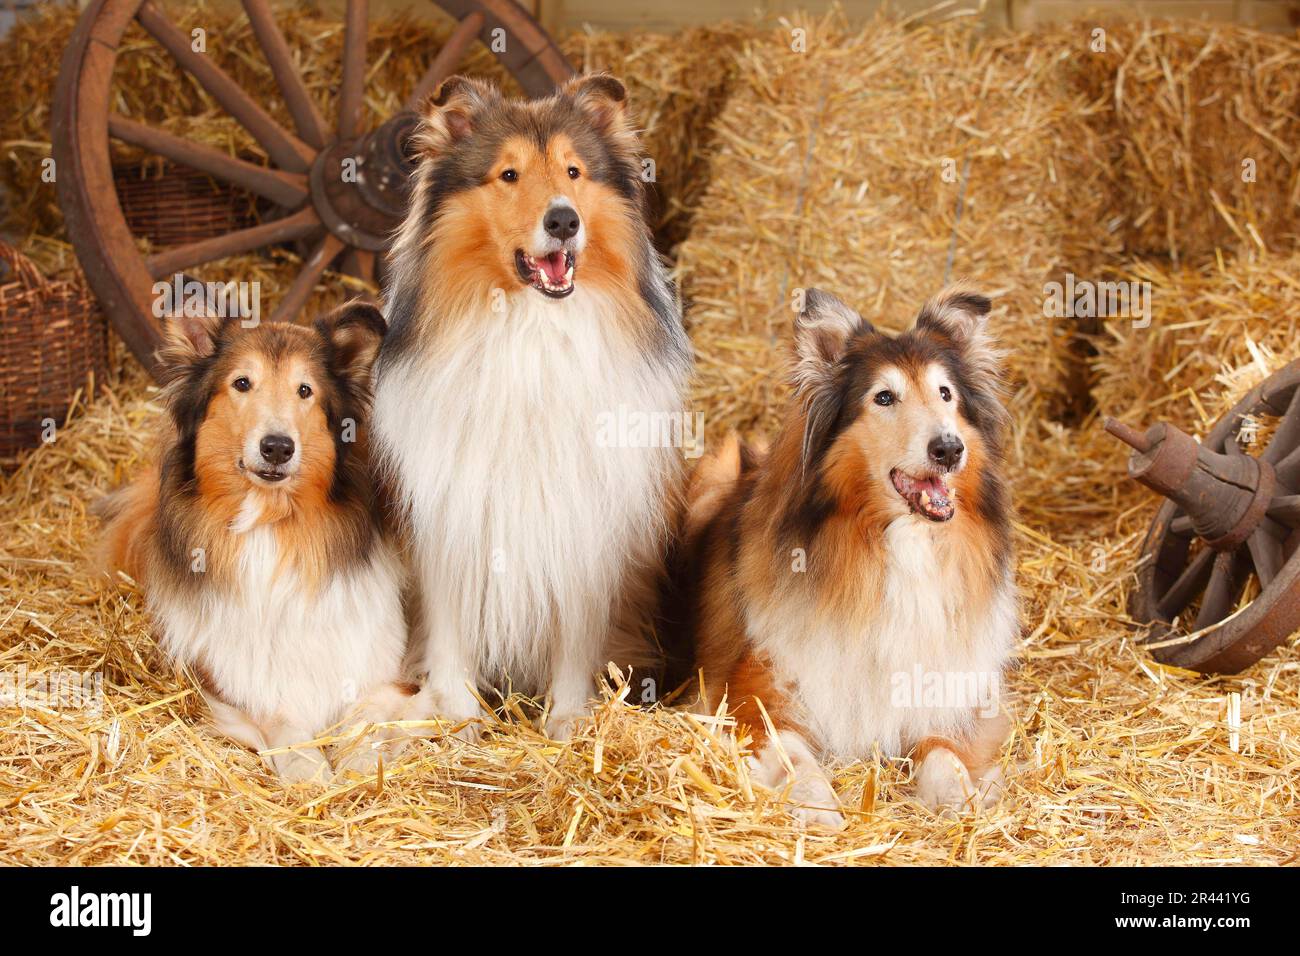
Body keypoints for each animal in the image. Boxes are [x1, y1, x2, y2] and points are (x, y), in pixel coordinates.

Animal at [101, 306, 416, 785]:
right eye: (242, 383)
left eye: (305, 390)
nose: (277, 447)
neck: (273, 523)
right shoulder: (227, 680)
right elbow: (280, 716)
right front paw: (308, 769)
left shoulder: (388, 667)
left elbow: (365, 715)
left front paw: (360, 762)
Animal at [371, 72, 696, 738]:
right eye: (509, 174)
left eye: (573, 171)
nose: (564, 221)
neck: (530, 327)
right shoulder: (448, 512)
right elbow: (448, 630)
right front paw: (458, 719)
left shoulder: (584, 522)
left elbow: (578, 633)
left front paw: (569, 721)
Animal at [681, 286, 1013, 832]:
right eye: (884, 397)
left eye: (946, 394)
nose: (949, 449)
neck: (898, 546)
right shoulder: (754, 695)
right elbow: (795, 759)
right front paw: (819, 811)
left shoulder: (950, 698)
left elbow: (945, 757)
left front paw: (961, 806)